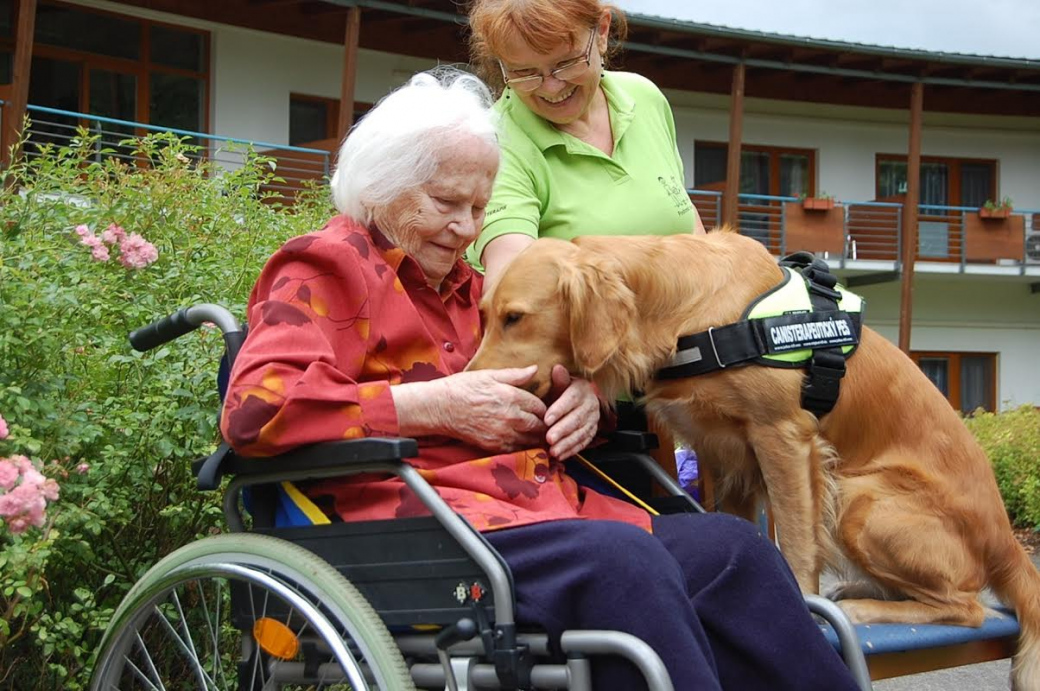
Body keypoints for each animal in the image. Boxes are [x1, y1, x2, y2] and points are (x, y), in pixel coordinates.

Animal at [467, 231, 1040, 686]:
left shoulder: (783, 438)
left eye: (515, 318)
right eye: (487, 316)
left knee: (969, 607)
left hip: (862, 498)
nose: (470, 381)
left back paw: (860, 605)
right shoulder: (721, 455)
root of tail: (1008, 541)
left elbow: (796, 548)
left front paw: (805, 607)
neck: (691, 313)